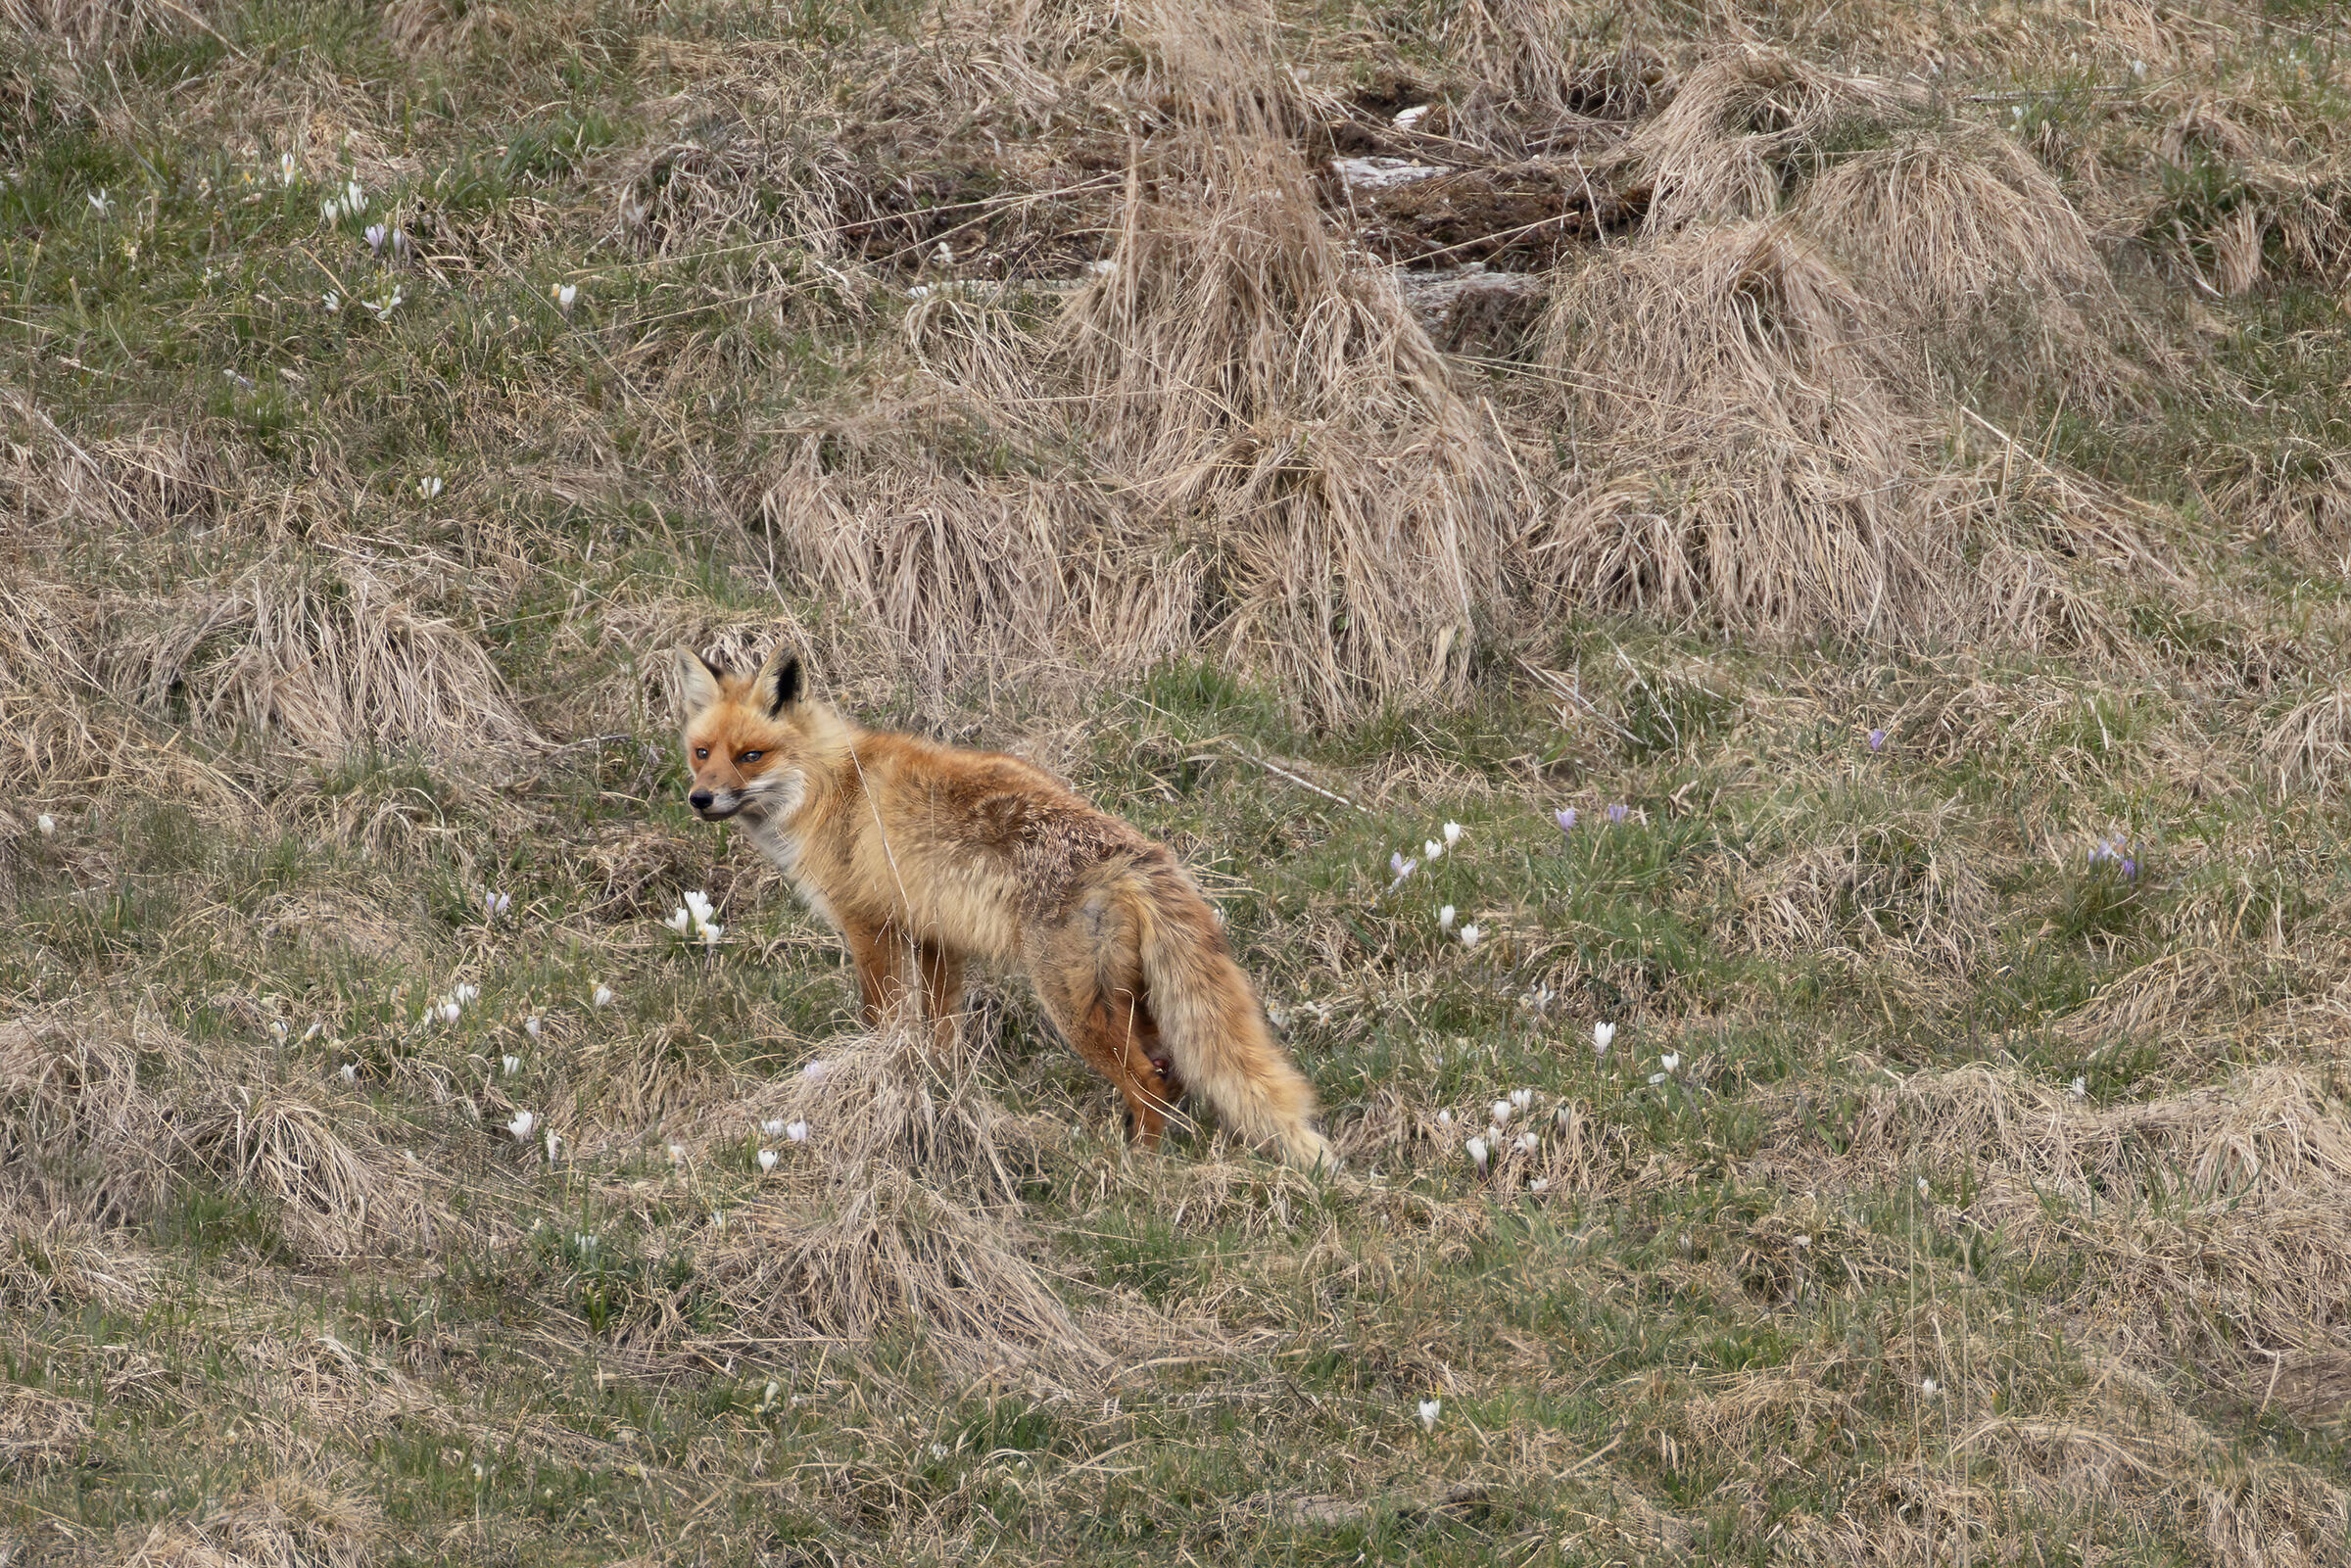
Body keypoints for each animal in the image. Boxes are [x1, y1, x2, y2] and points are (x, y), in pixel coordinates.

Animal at [672, 641, 1334, 1170]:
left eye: (751, 756)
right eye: (702, 752)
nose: (700, 799)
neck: (831, 787)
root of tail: (1136, 855)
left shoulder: (869, 927)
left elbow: (879, 1021)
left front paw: (871, 1074)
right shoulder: (937, 936)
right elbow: (940, 1030)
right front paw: (936, 1088)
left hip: (1073, 1008)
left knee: (1150, 1083)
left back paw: (1137, 1166)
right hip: (1133, 1003)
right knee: (1170, 1073)